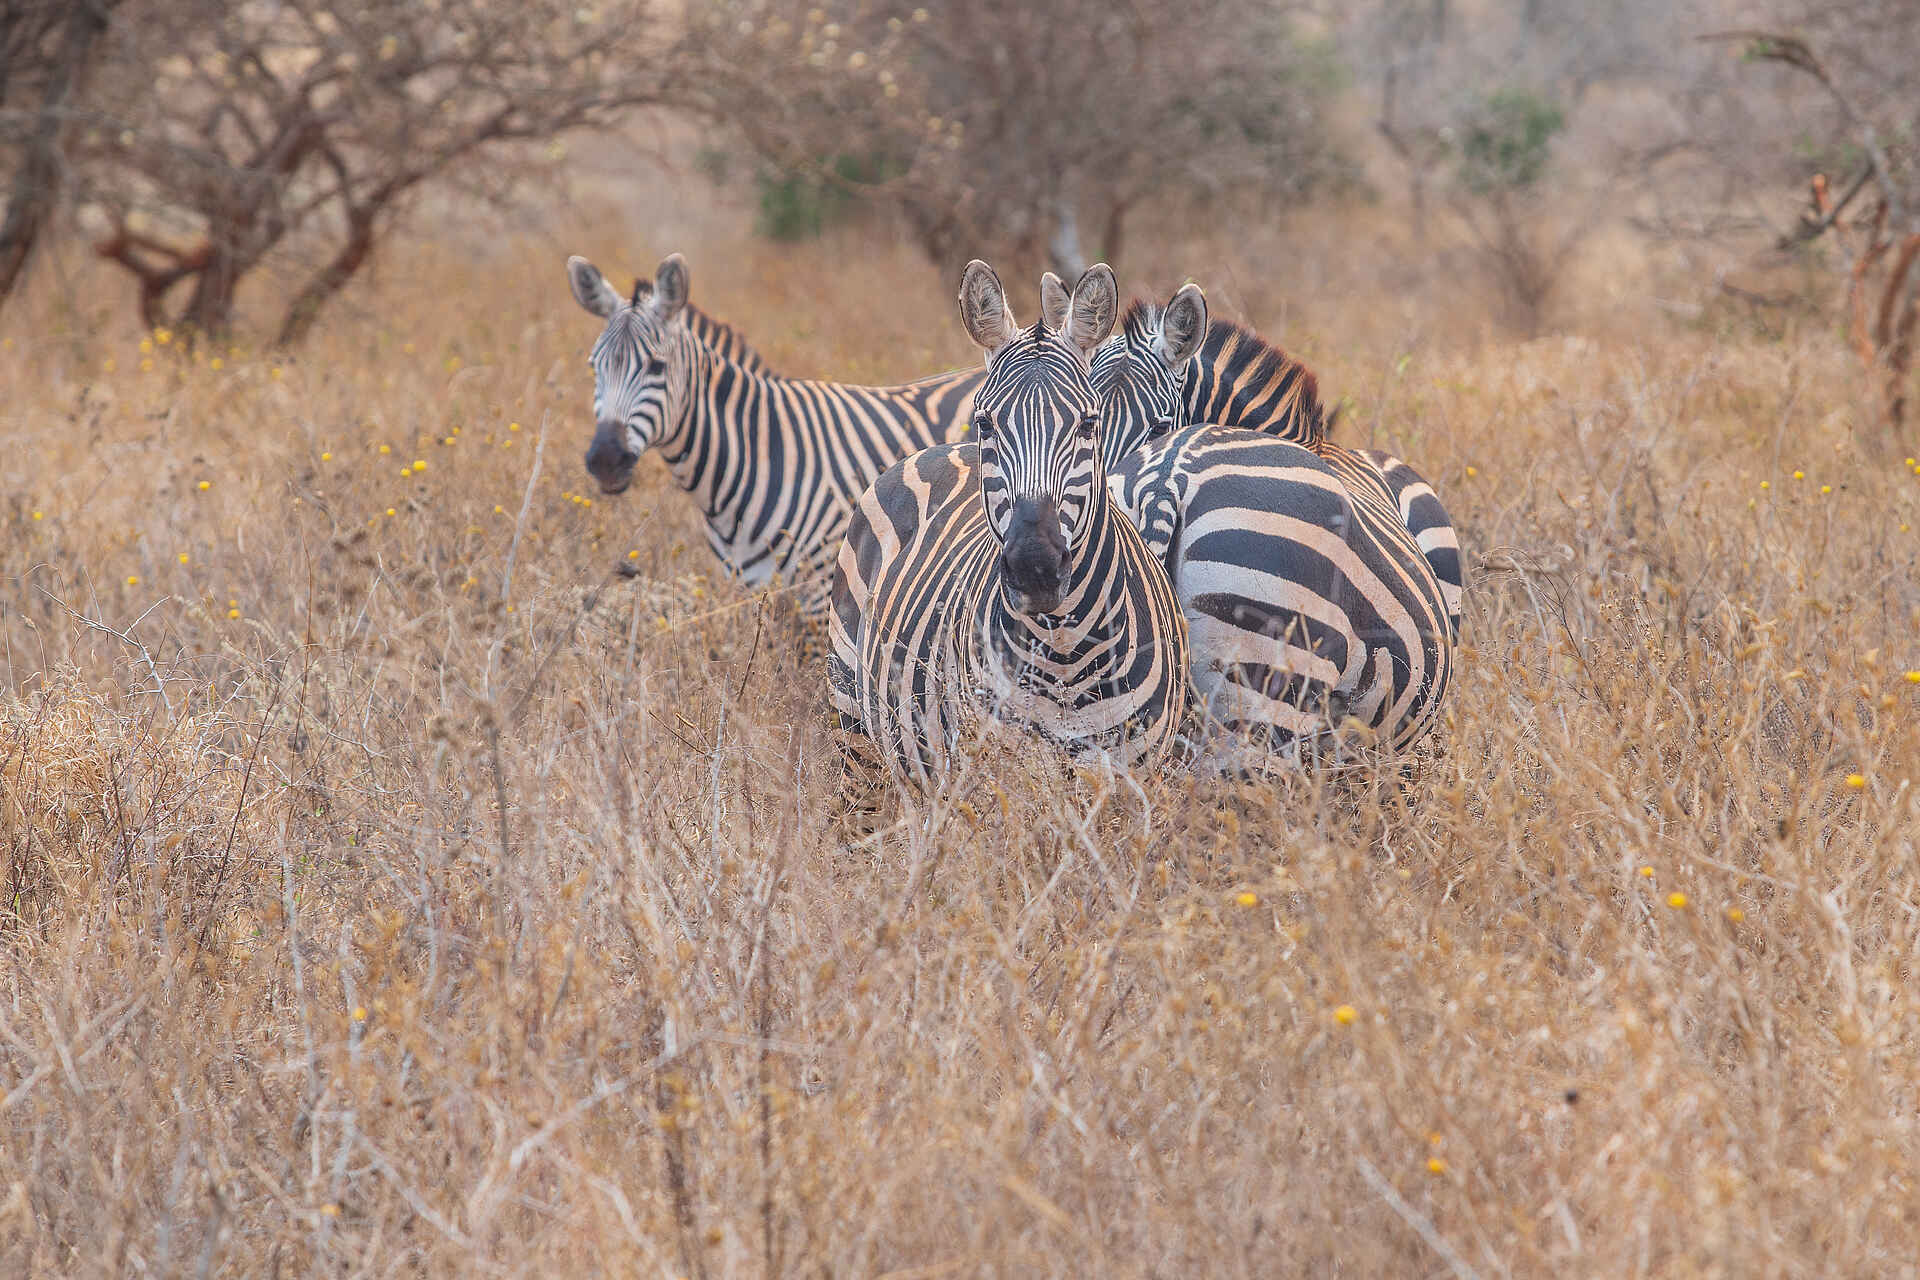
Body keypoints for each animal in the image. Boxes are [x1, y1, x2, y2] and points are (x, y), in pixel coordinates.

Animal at [828, 261, 1191, 787]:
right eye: (985, 423)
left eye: (1088, 424)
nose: (1034, 568)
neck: (1064, 651)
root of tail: (942, 448)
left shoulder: (1132, 779)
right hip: (855, 732)